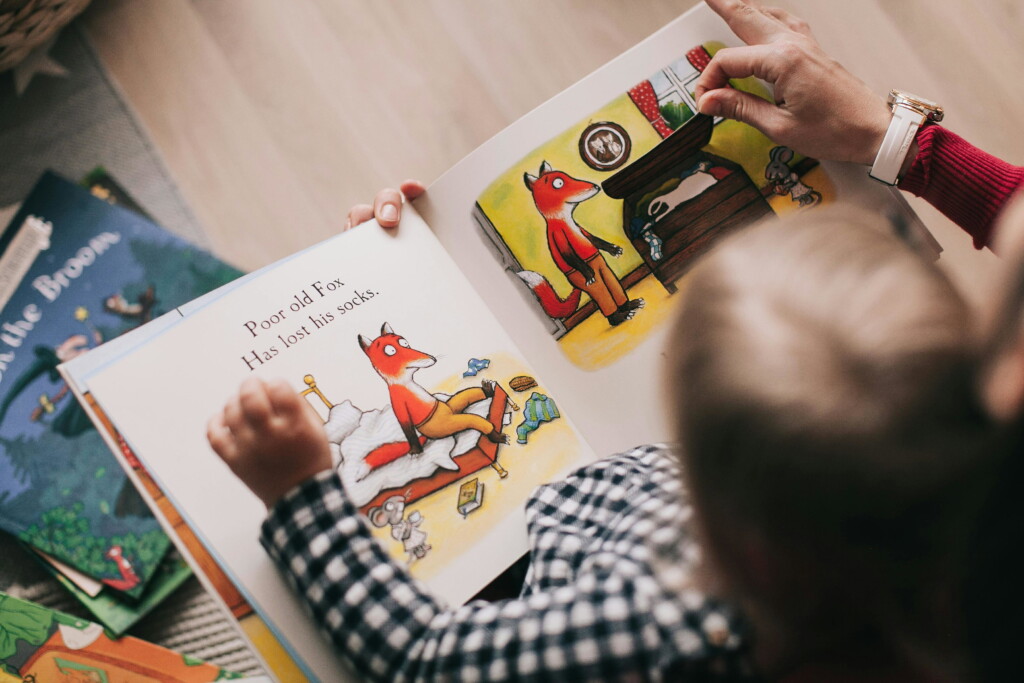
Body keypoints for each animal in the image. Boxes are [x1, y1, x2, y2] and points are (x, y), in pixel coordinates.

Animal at [524, 163, 643, 327]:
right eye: (558, 183)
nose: (596, 186)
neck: (564, 220)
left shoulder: (581, 230)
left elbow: (595, 240)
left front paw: (614, 250)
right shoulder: (559, 237)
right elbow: (570, 256)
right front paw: (588, 273)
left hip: (605, 270)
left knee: (614, 287)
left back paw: (630, 305)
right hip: (589, 282)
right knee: (604, 298)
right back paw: (620, 317)